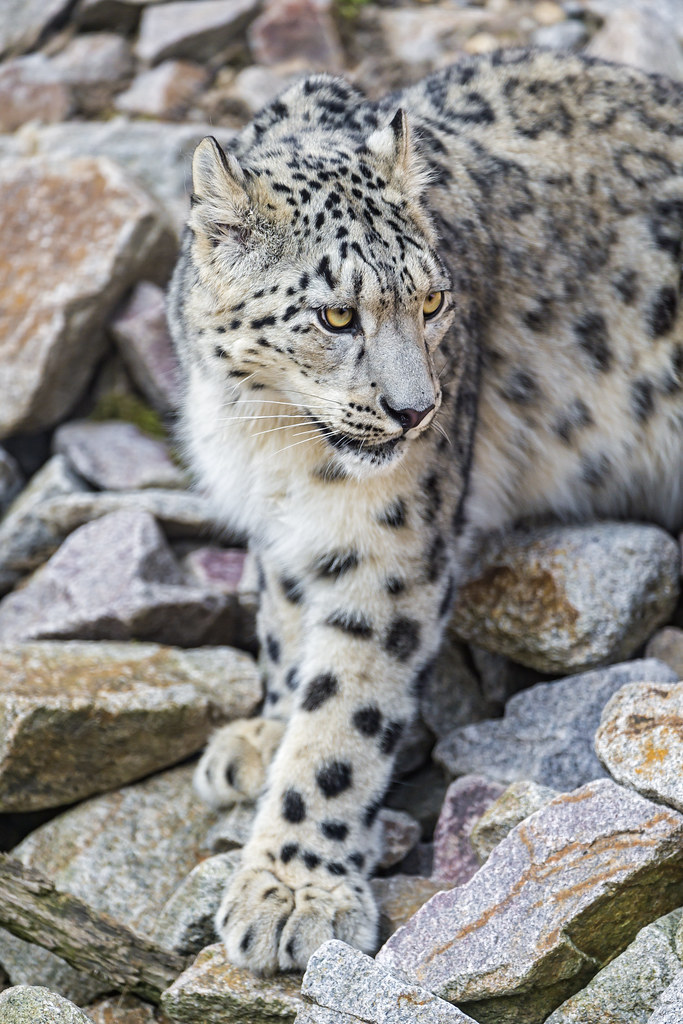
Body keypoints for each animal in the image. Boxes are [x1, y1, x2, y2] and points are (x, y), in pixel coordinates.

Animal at [167, 47, 683, 976]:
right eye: (336, 314)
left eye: (434, 301)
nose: (415, 414)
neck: (271, 439)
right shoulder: (284, 529)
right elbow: (283, 622)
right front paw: (264, 736)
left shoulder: (389, 543)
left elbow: (344, 714)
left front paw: (291, 889)